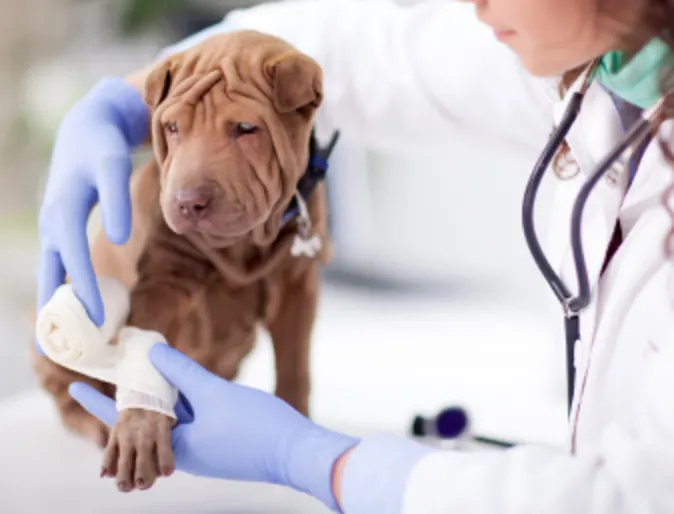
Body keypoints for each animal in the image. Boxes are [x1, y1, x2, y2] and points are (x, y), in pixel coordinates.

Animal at [30, 29, 332, 492]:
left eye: (247, 129)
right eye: (172, 128)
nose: (188, 202)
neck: (244, 245)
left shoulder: (300, 285)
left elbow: (295, 364)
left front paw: (295, 424)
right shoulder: (161, 283)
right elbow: (149, 350)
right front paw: (138, 430)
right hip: (54, 332)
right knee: (68, 395)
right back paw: (95, 422)